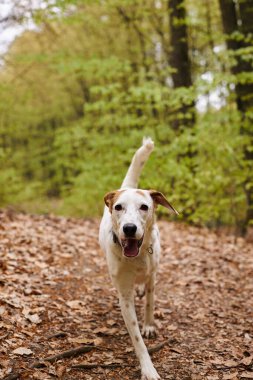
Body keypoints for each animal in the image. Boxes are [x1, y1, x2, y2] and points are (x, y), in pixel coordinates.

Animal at [99, 139, 178, 380]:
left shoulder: (153, 274)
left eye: (144, 207)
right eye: (118, 207)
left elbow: (150, 302)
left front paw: (149, 324)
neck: (138, 255)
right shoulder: (124, 296)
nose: (129, 228)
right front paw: (148, 369)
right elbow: (137, 339)